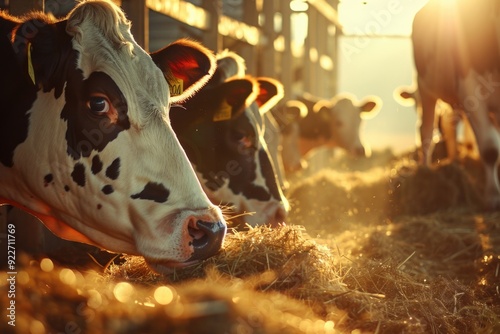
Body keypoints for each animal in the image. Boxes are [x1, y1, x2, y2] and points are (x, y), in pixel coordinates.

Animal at [410, 0, 500, 209]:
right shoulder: (470, 87)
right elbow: (490, 149)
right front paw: (493, 197)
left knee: (449, 127)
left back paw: (454, 160)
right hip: (425, 88)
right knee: (426, 131)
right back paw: (425, 170)